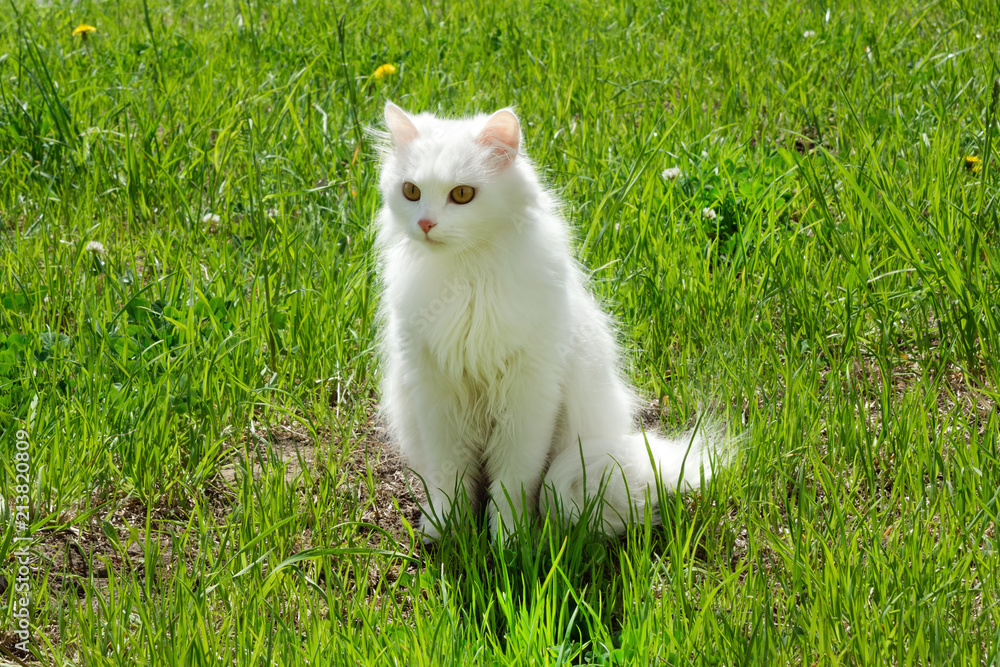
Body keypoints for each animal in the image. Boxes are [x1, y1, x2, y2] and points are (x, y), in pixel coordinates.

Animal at [376, 103, 720, 544]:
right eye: (411, 191)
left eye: (462, 195)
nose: (425, 224)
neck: (467, 277)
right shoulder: (436, 395)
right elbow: (449, 476)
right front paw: (446, 528)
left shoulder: (528, 395)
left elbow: (512, 482)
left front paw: (509, 539)